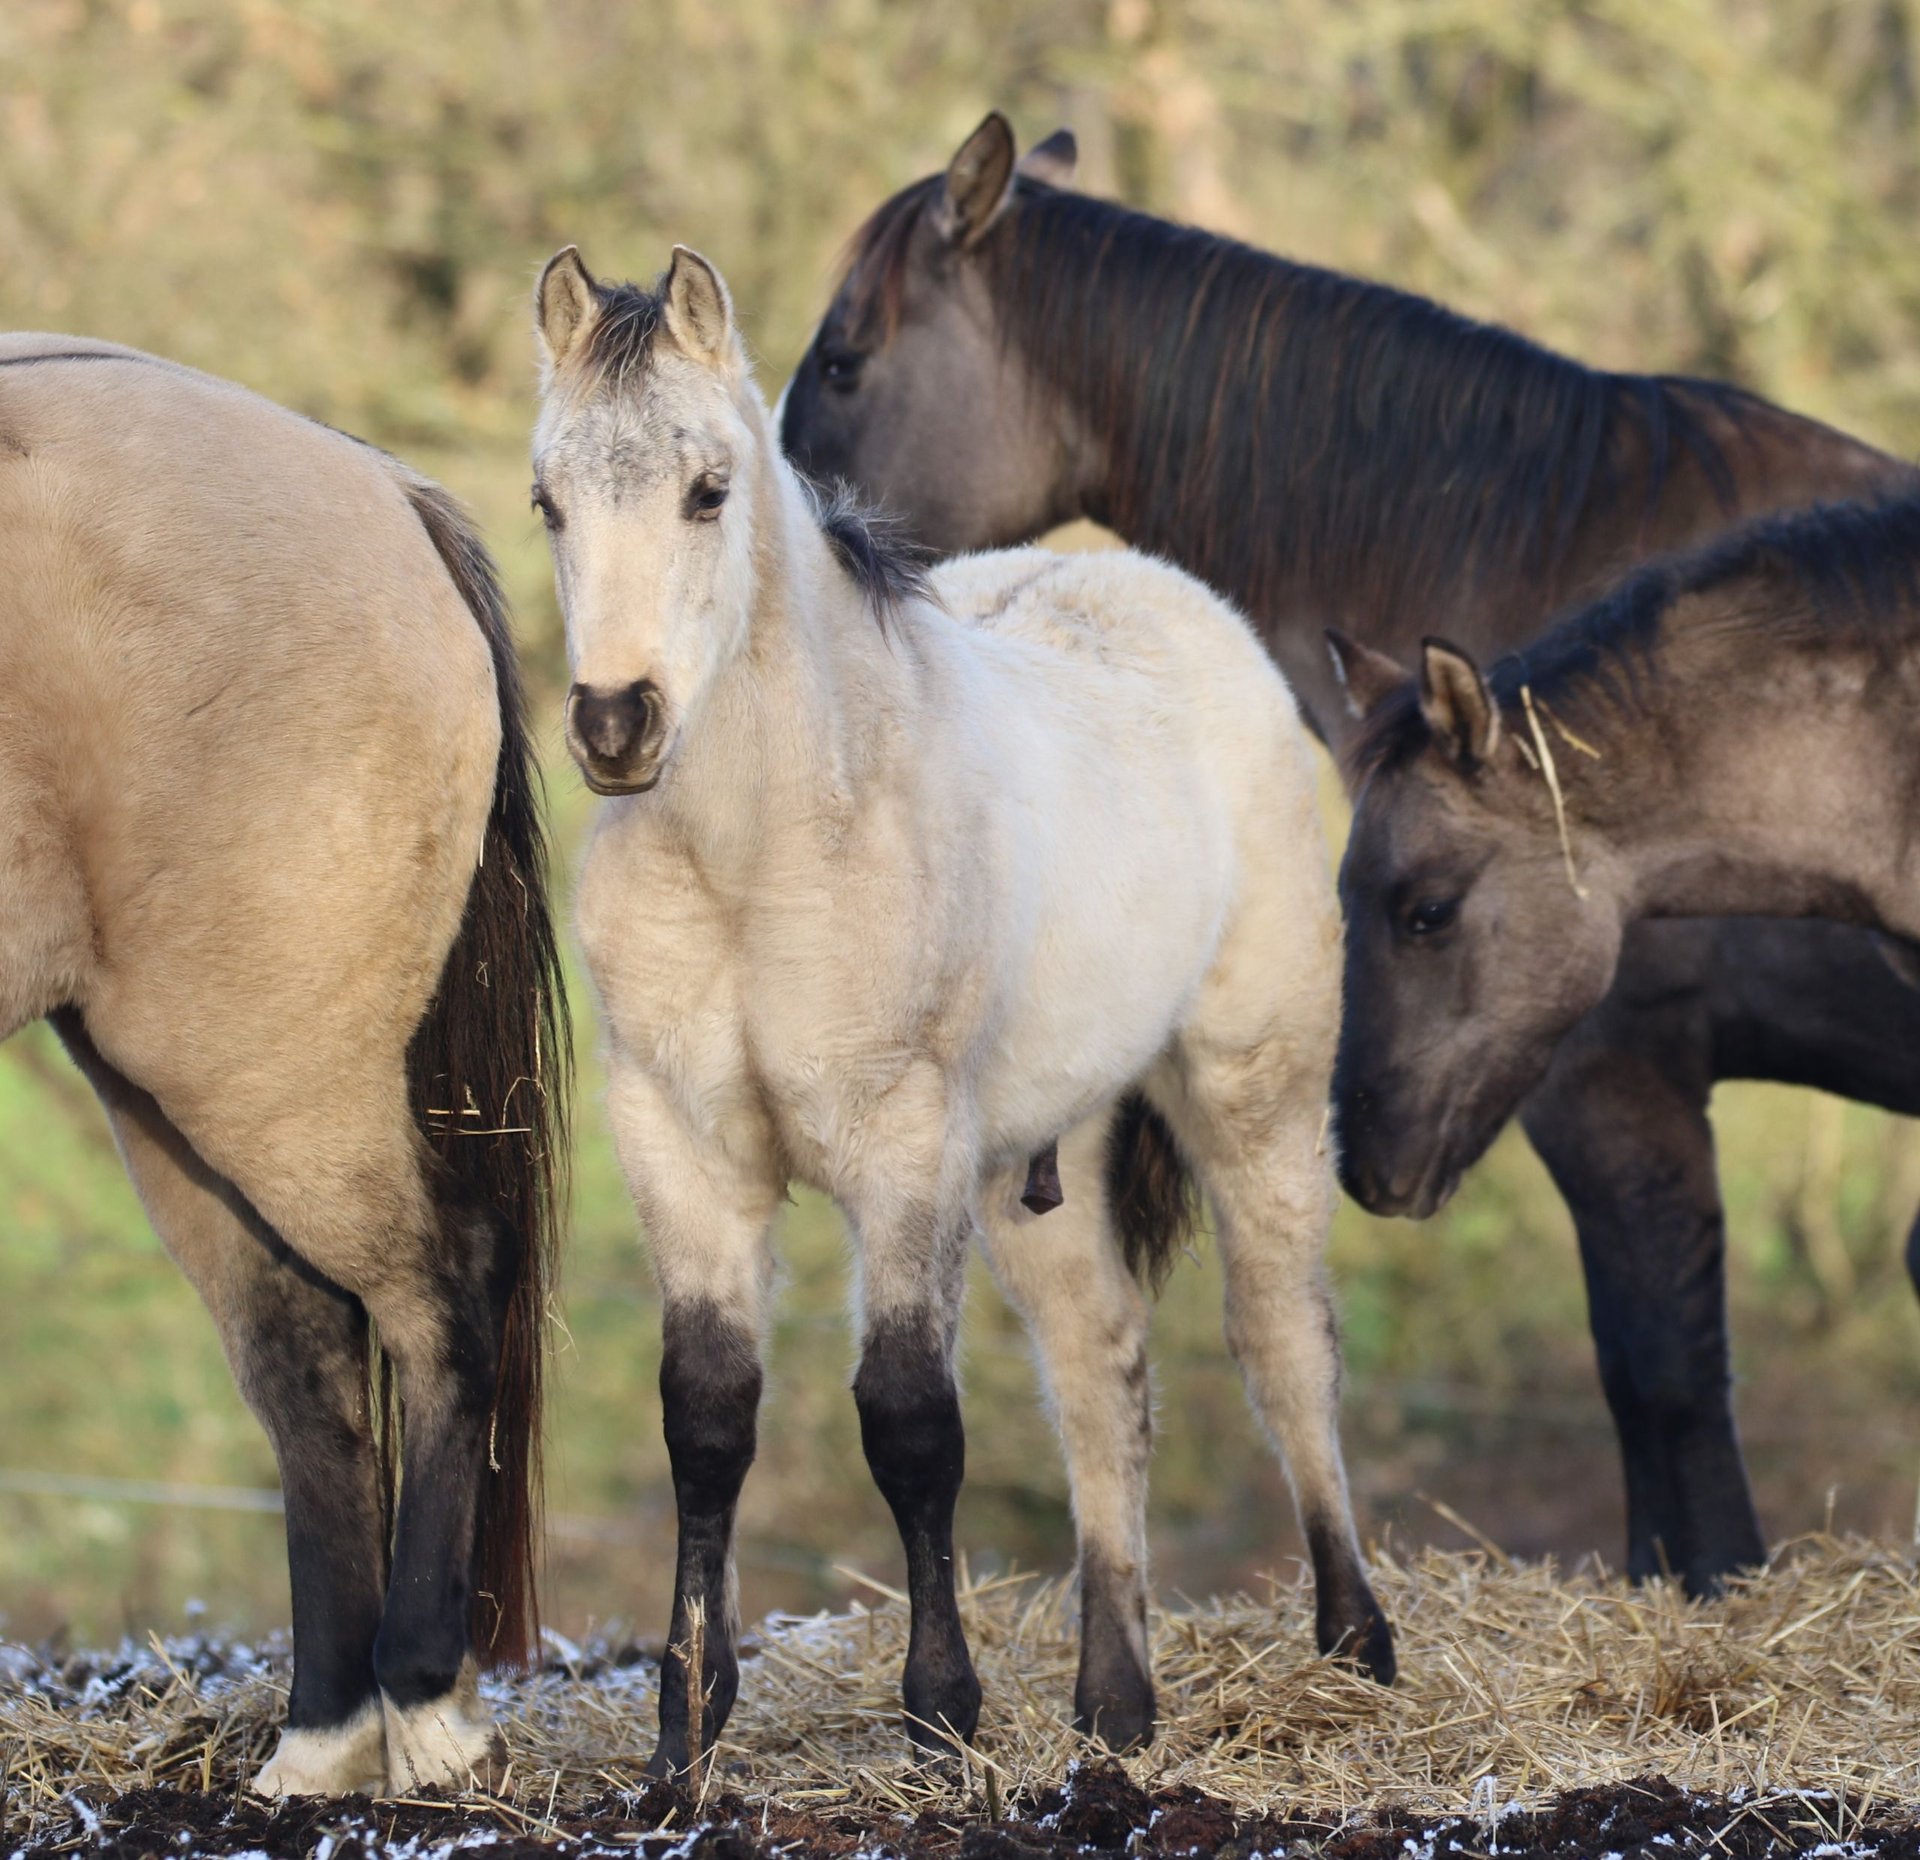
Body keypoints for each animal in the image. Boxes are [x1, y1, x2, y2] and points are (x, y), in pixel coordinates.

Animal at [0, 337, 569, 1796]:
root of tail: (380, 489)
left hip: (264, 1081)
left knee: (439, 1302)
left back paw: (422, 1710)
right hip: (174, 1105)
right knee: (305, 1369)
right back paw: (322, 1740)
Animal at [531, 241, 1393, 1767]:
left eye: (708, 489)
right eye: (548, 500)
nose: (616, 723)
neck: (764, 854)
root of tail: (1175, 603)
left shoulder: (903, 1143)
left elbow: (909, 1419)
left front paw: (941, 1711)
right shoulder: (682, 1146)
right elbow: (707, 1418)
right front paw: (685, 1733)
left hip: (1253, 1088)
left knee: (1285, 1337)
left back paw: (1354, 1645)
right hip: (1035, 1162)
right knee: (1101, 1370)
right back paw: (1117, 1707)